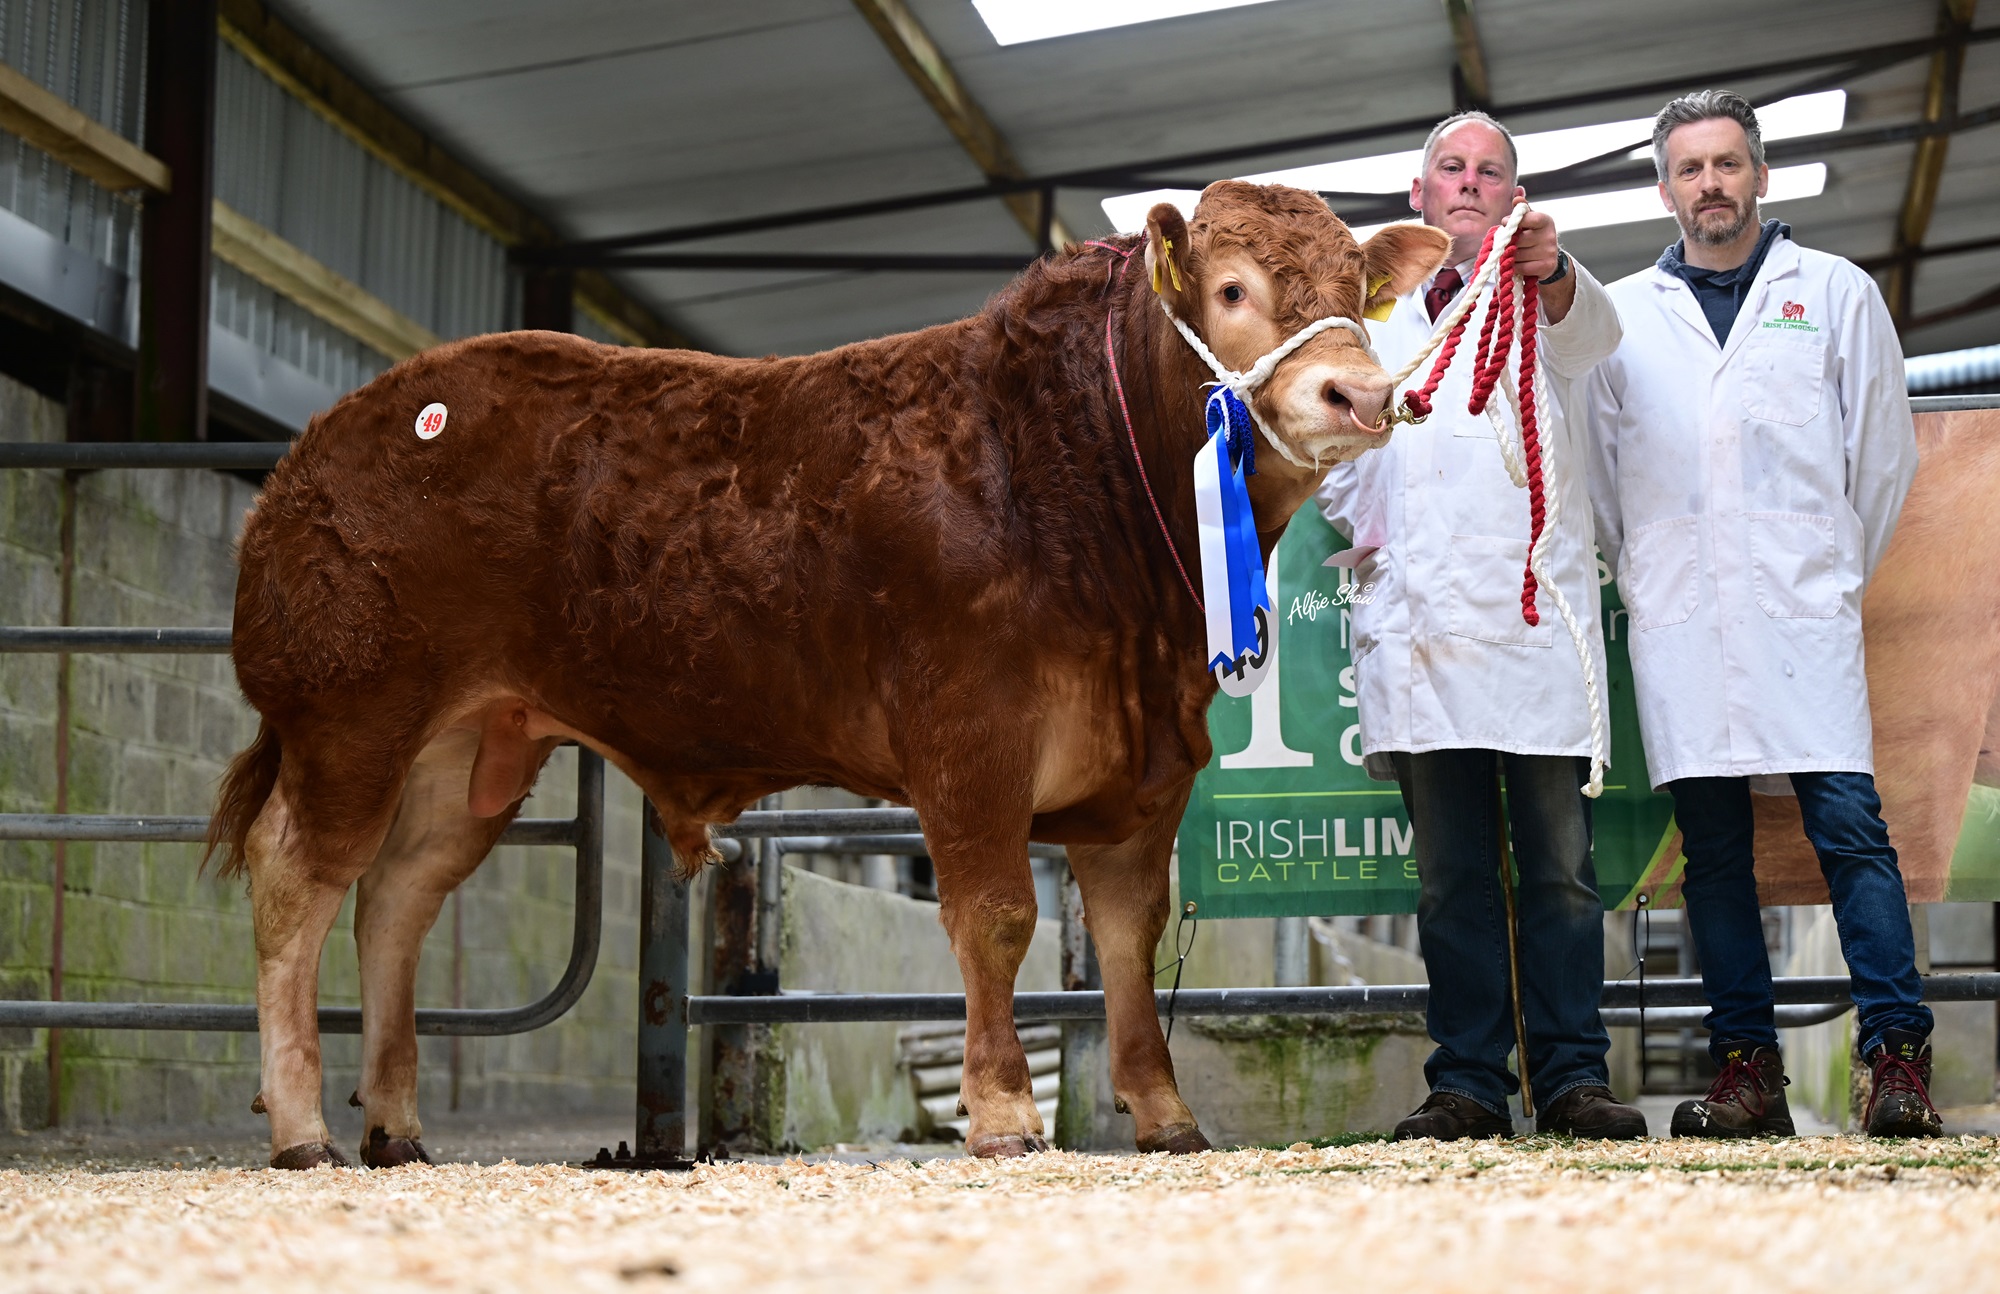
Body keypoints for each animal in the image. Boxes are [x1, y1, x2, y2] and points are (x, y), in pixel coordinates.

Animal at [206, 180, 1451, 1169]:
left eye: (1357, 287)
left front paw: (1162, 1112)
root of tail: (325, 441)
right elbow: (996, 915)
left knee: (394, 897)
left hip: (466, 745)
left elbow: (1125, 941)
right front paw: (1004, 1114)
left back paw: (394, 1125)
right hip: (351, 712)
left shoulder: (1144, 772)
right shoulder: (969, 736)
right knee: (296, 880)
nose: (1356, 393)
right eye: (1232, 289)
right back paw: (301, 1128)